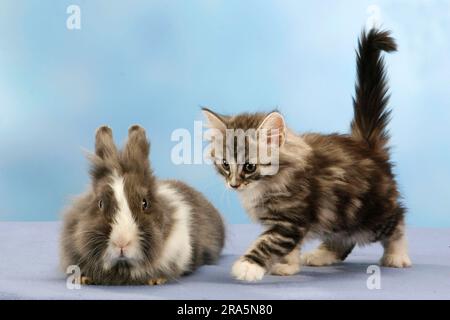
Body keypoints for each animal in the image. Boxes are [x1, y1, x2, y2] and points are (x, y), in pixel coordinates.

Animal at [203, 28, 412, 282]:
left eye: (249, 167)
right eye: (225, 164)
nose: (233, 185)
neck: (269, 183)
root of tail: (365, 145)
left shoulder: (291, 219)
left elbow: (268, 242)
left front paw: (248, 266)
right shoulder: (289, 222)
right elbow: (289, 246)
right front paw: (287, 266)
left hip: (370, 214)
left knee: (397, 220)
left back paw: (397, 255)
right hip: (340, 214)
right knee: (344, 237)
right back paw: (323, 255)